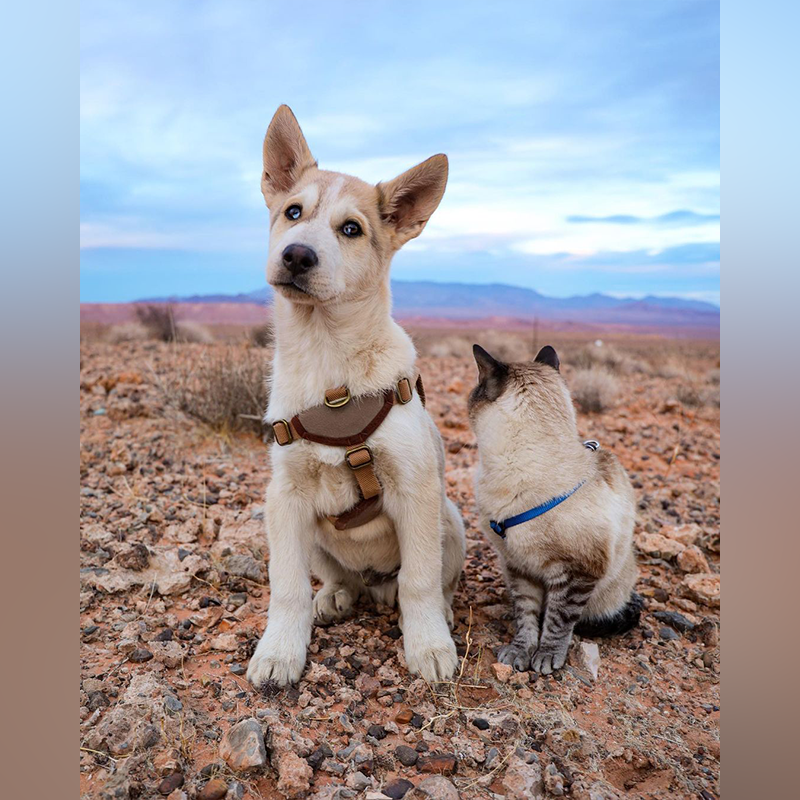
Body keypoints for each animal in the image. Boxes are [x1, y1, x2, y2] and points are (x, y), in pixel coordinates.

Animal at [247, 104, 466, 688]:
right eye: (293, 212)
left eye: (352, 229)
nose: (297, 255)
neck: (332, 369)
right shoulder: (284, 497)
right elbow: (286, 586)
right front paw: (279, 651)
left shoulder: (415, 489)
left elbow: (419, 580)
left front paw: (429, 645)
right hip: (318, 540)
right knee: (337, 579)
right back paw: (336, 596)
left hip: (452, 520)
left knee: (428, 581)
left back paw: (434, 610)